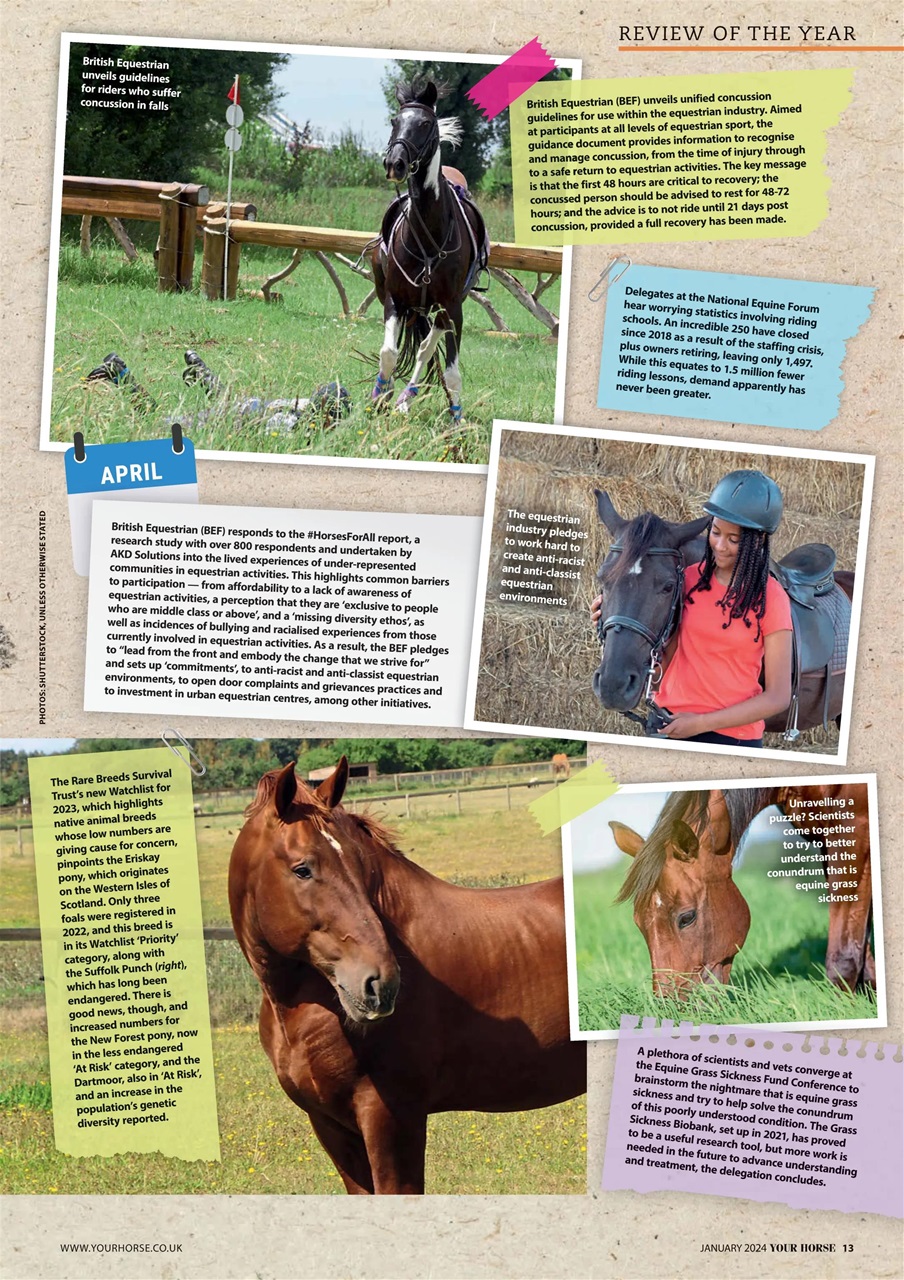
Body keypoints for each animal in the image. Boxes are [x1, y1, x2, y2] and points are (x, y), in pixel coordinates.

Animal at [371, 80, 488, 424]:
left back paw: (406, 400)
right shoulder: (395, 300)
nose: (394, 164)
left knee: (425, 348)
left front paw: (456, 420)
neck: (427, 233)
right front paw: (378, 400)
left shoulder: (453, 308)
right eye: (395, 121)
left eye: (424, 124)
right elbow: (389, 353)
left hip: (441, 311)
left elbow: (451, 372)